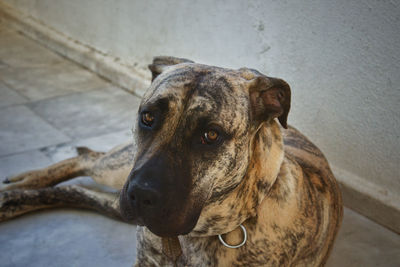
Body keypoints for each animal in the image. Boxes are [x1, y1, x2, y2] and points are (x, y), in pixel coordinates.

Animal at [0, 56, 344, 266]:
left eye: (211, 135)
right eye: (147, 117)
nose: (141, 195)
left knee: (81, 187)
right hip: (119, 171)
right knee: (87, 160)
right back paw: (22, 183)